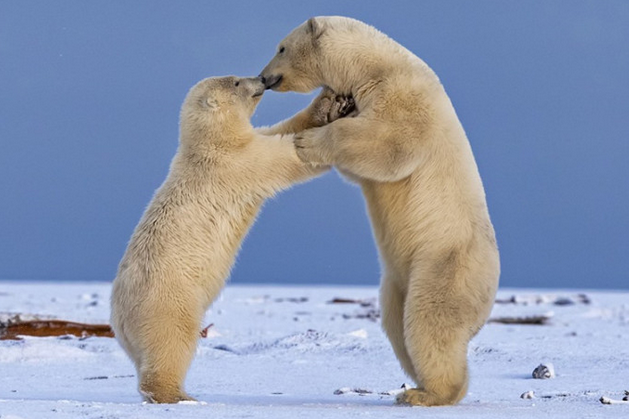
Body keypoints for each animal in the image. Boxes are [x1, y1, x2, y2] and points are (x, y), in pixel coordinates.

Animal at [110, 75, 350, 404]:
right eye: (236, 81)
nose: (262, 79)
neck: (208, 145)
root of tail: (118, 320)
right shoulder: (236, 164)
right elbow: (286, 156)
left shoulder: (243, 146)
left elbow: (281, 129)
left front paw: (327, 105)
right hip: (168, 301)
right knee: (172, 344)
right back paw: (179, 395)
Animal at [260, 17, 500, 406]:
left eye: (281, 47)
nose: (265, 77)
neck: (374, 66)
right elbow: (362, 168)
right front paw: (328, 106)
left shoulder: (404, 97)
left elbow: (388, 144)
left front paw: (308, 141)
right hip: (397, 282)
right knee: (397, 324)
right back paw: (415, 384)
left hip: (445, 264)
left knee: (430, 321)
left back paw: (426, 393)